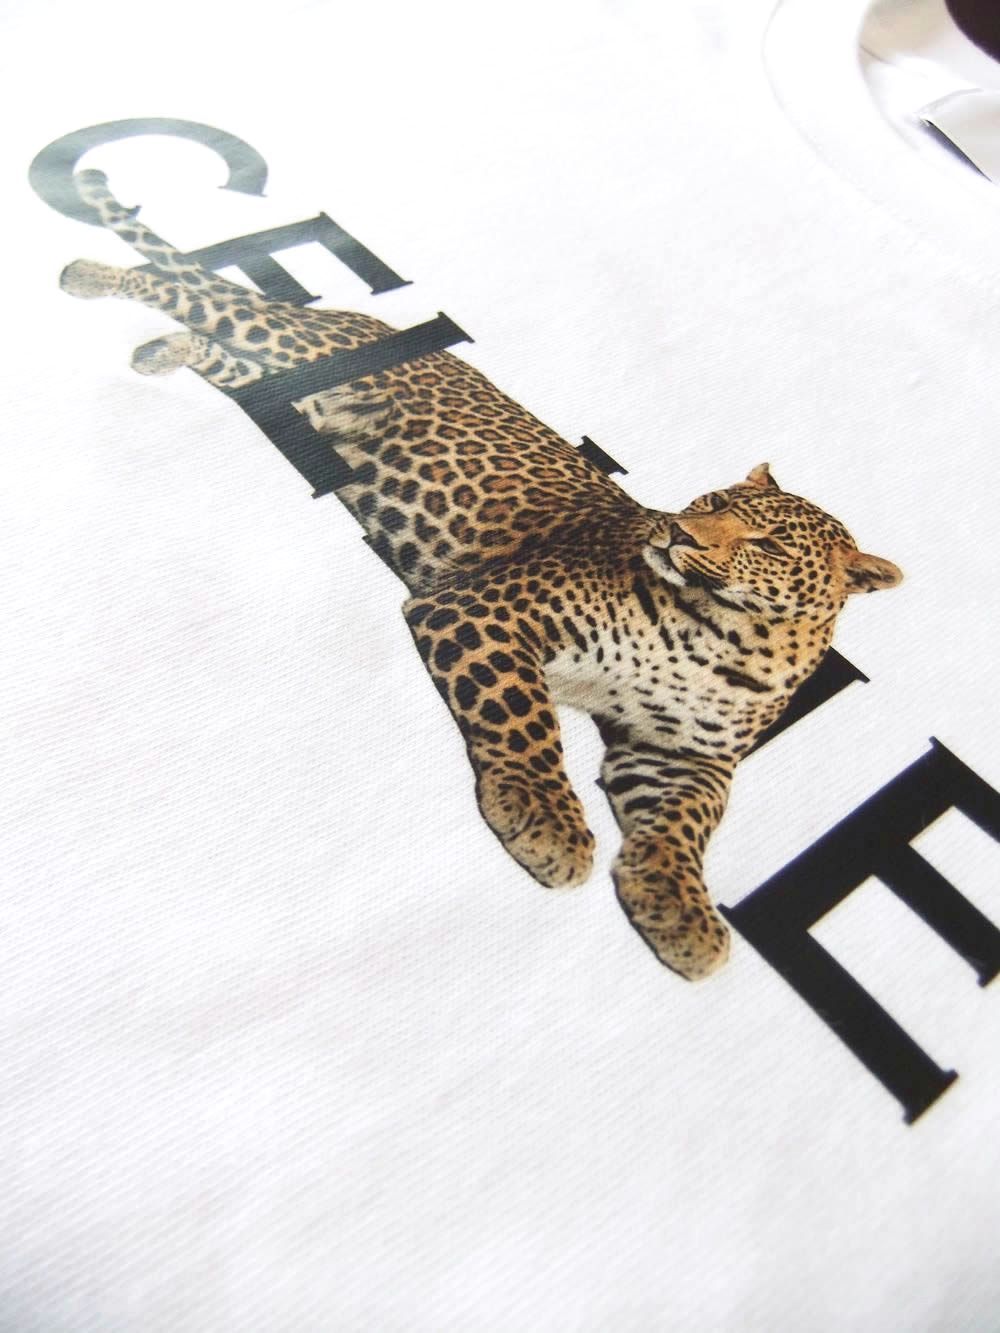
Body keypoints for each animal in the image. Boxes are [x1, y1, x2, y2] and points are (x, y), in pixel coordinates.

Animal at [59, 168, 903, 980]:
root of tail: (375, 329)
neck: (722, 634)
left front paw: (683, 914)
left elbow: (688, 827)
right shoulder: (485, 608)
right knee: (189, 288)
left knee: (227, 358)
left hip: (294, 392)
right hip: (288, 338)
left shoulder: (680, 756)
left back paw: (156, 353)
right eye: (710, 501)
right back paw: (84, 272)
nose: (676, 531)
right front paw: (548, 820)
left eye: (766, 540)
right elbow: (528, 719)